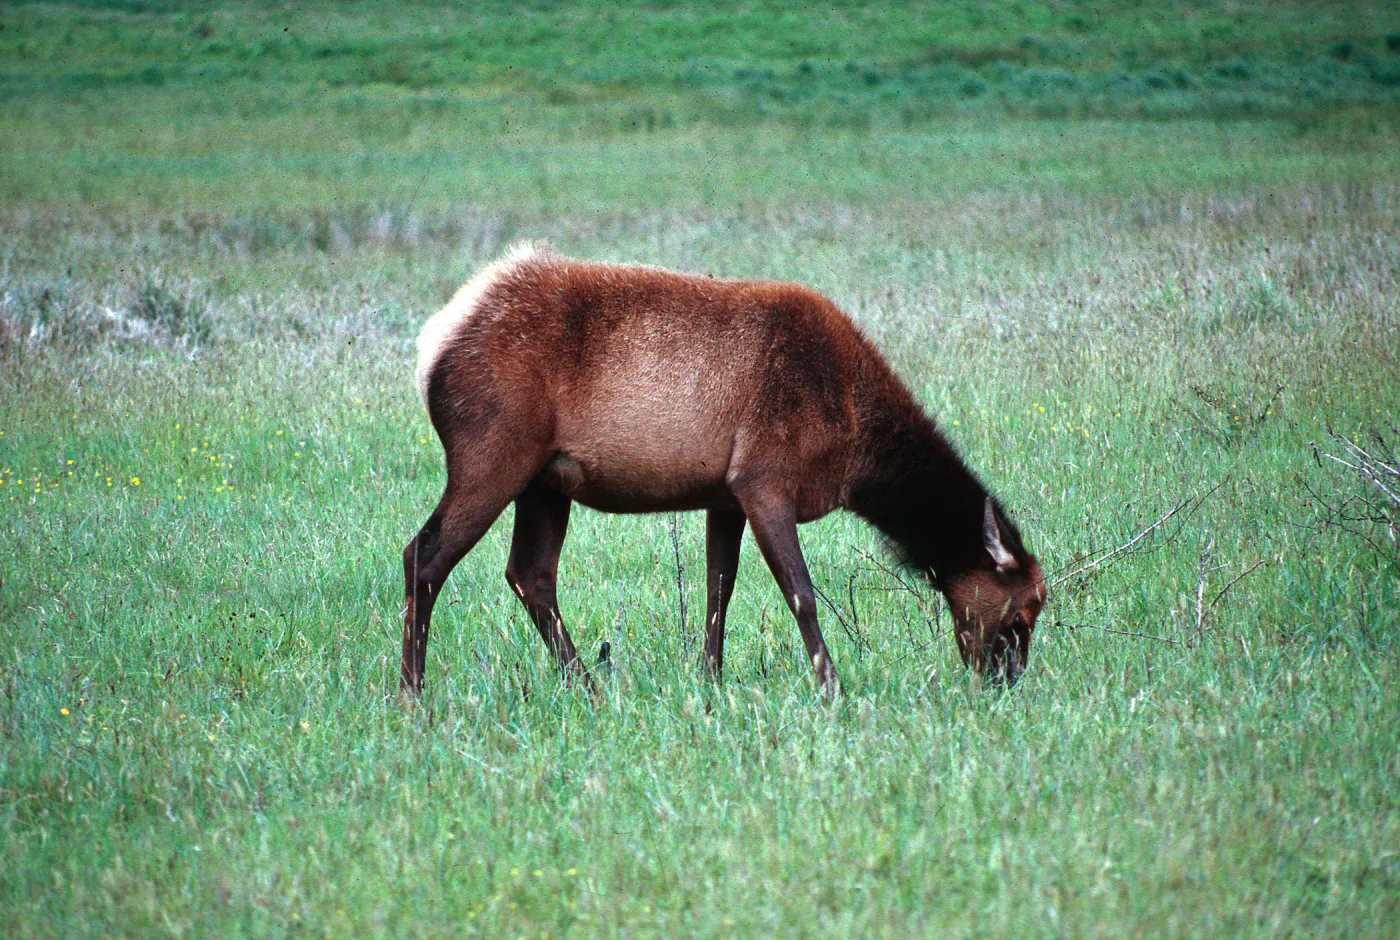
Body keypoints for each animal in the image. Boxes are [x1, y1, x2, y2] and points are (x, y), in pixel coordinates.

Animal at [403, 242, 1046, 697]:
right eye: (1022, 613)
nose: (1007, 685)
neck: (853, 448)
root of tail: (432, 345)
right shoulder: (763, 478)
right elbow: (801, 593)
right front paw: (832, 688)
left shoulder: (724, 494)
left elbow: (720, 588)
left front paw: (710, 681)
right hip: (494, 452)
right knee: (424, 555)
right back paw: (412, 693)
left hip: (545, 480)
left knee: (530, 572)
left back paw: (586, 686)